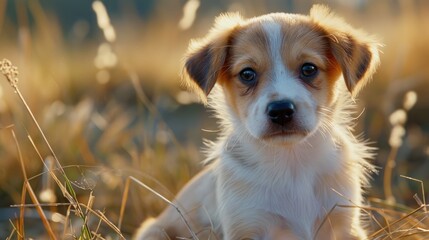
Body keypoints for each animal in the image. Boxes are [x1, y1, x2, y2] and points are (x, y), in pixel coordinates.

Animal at [135, 4, 380, 240]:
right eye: (247, 74)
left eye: (309, 68)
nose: (281, 111)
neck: (291, 164)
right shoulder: (246, 225)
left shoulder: (344, 222)